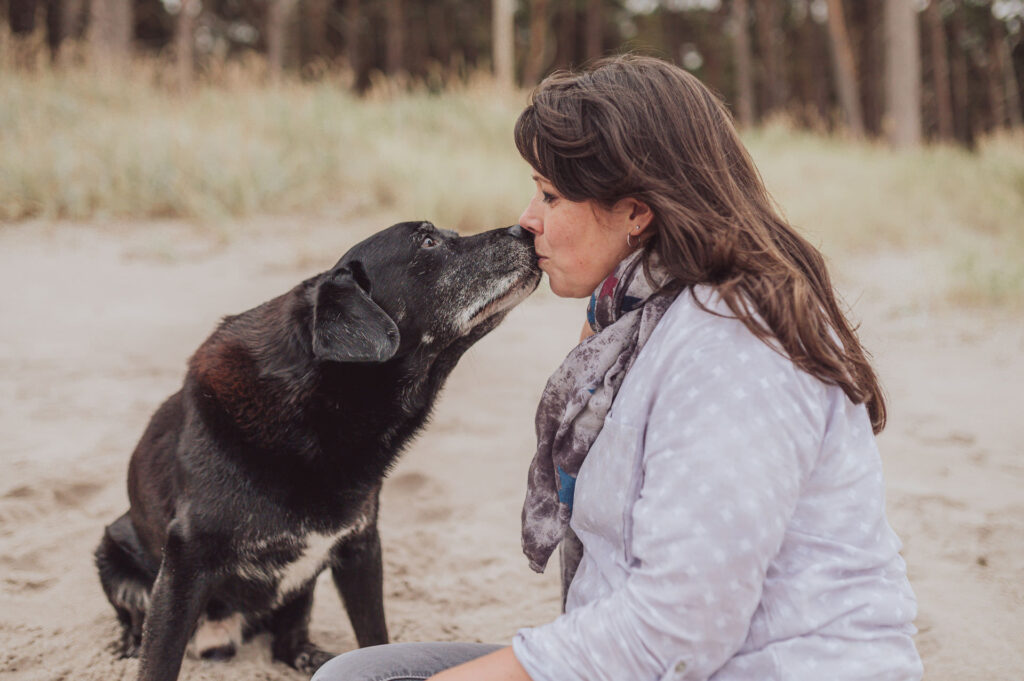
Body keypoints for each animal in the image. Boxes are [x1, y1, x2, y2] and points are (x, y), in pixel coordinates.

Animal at [95, 222, 540, 679]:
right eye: (428, 241)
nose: (524, 228)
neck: (322, 406)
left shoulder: (361, 547)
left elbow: (373, 635)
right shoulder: (185, 562)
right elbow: (159, 660)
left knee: (287, 645)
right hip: (112, 550)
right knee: (137, 622)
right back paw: (126, 644)